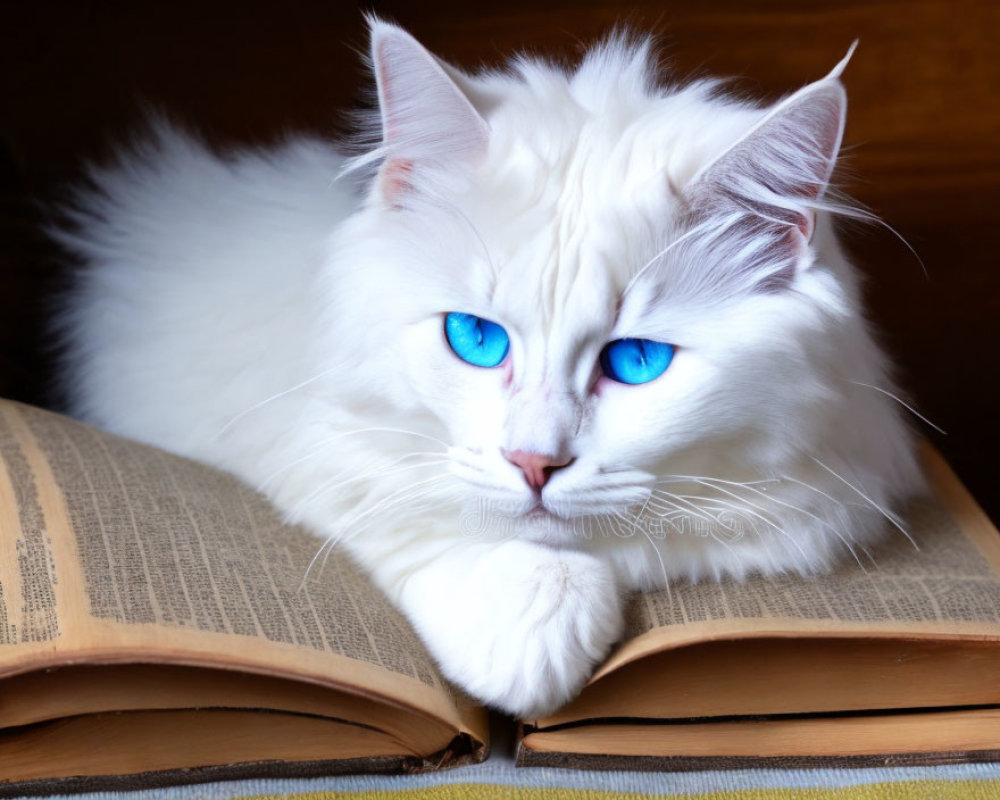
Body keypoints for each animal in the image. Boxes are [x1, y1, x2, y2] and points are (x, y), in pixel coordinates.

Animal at [52, 21, 920, 716]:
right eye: (476, 341)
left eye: (636, 360)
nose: (533, 463)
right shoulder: (310, 443)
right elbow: (430, 519)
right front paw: (529, 632)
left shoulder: (818, 498)